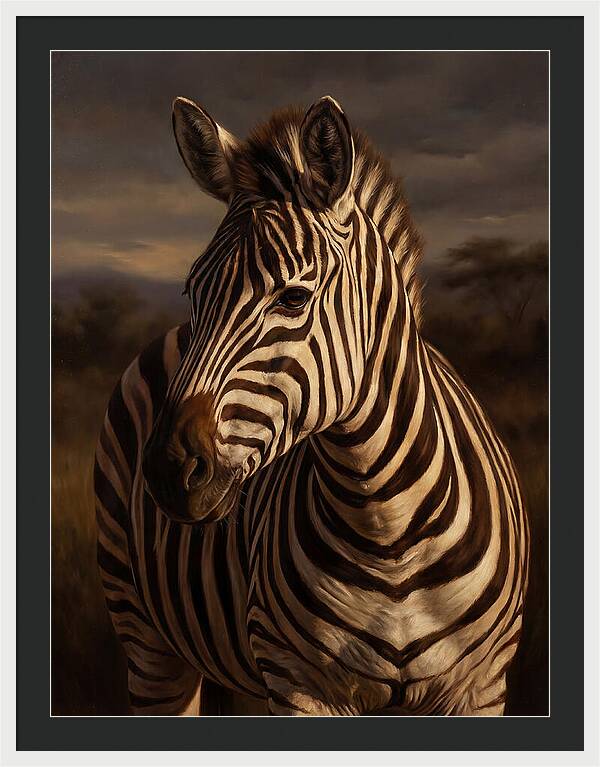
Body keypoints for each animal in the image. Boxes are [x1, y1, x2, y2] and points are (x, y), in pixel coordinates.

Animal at [94, 95, 529, 716]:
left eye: (294, 297)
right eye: (192, 292)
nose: (168, 470)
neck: (387, 531)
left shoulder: (481, 686)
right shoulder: (300, 682)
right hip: (146, 636)